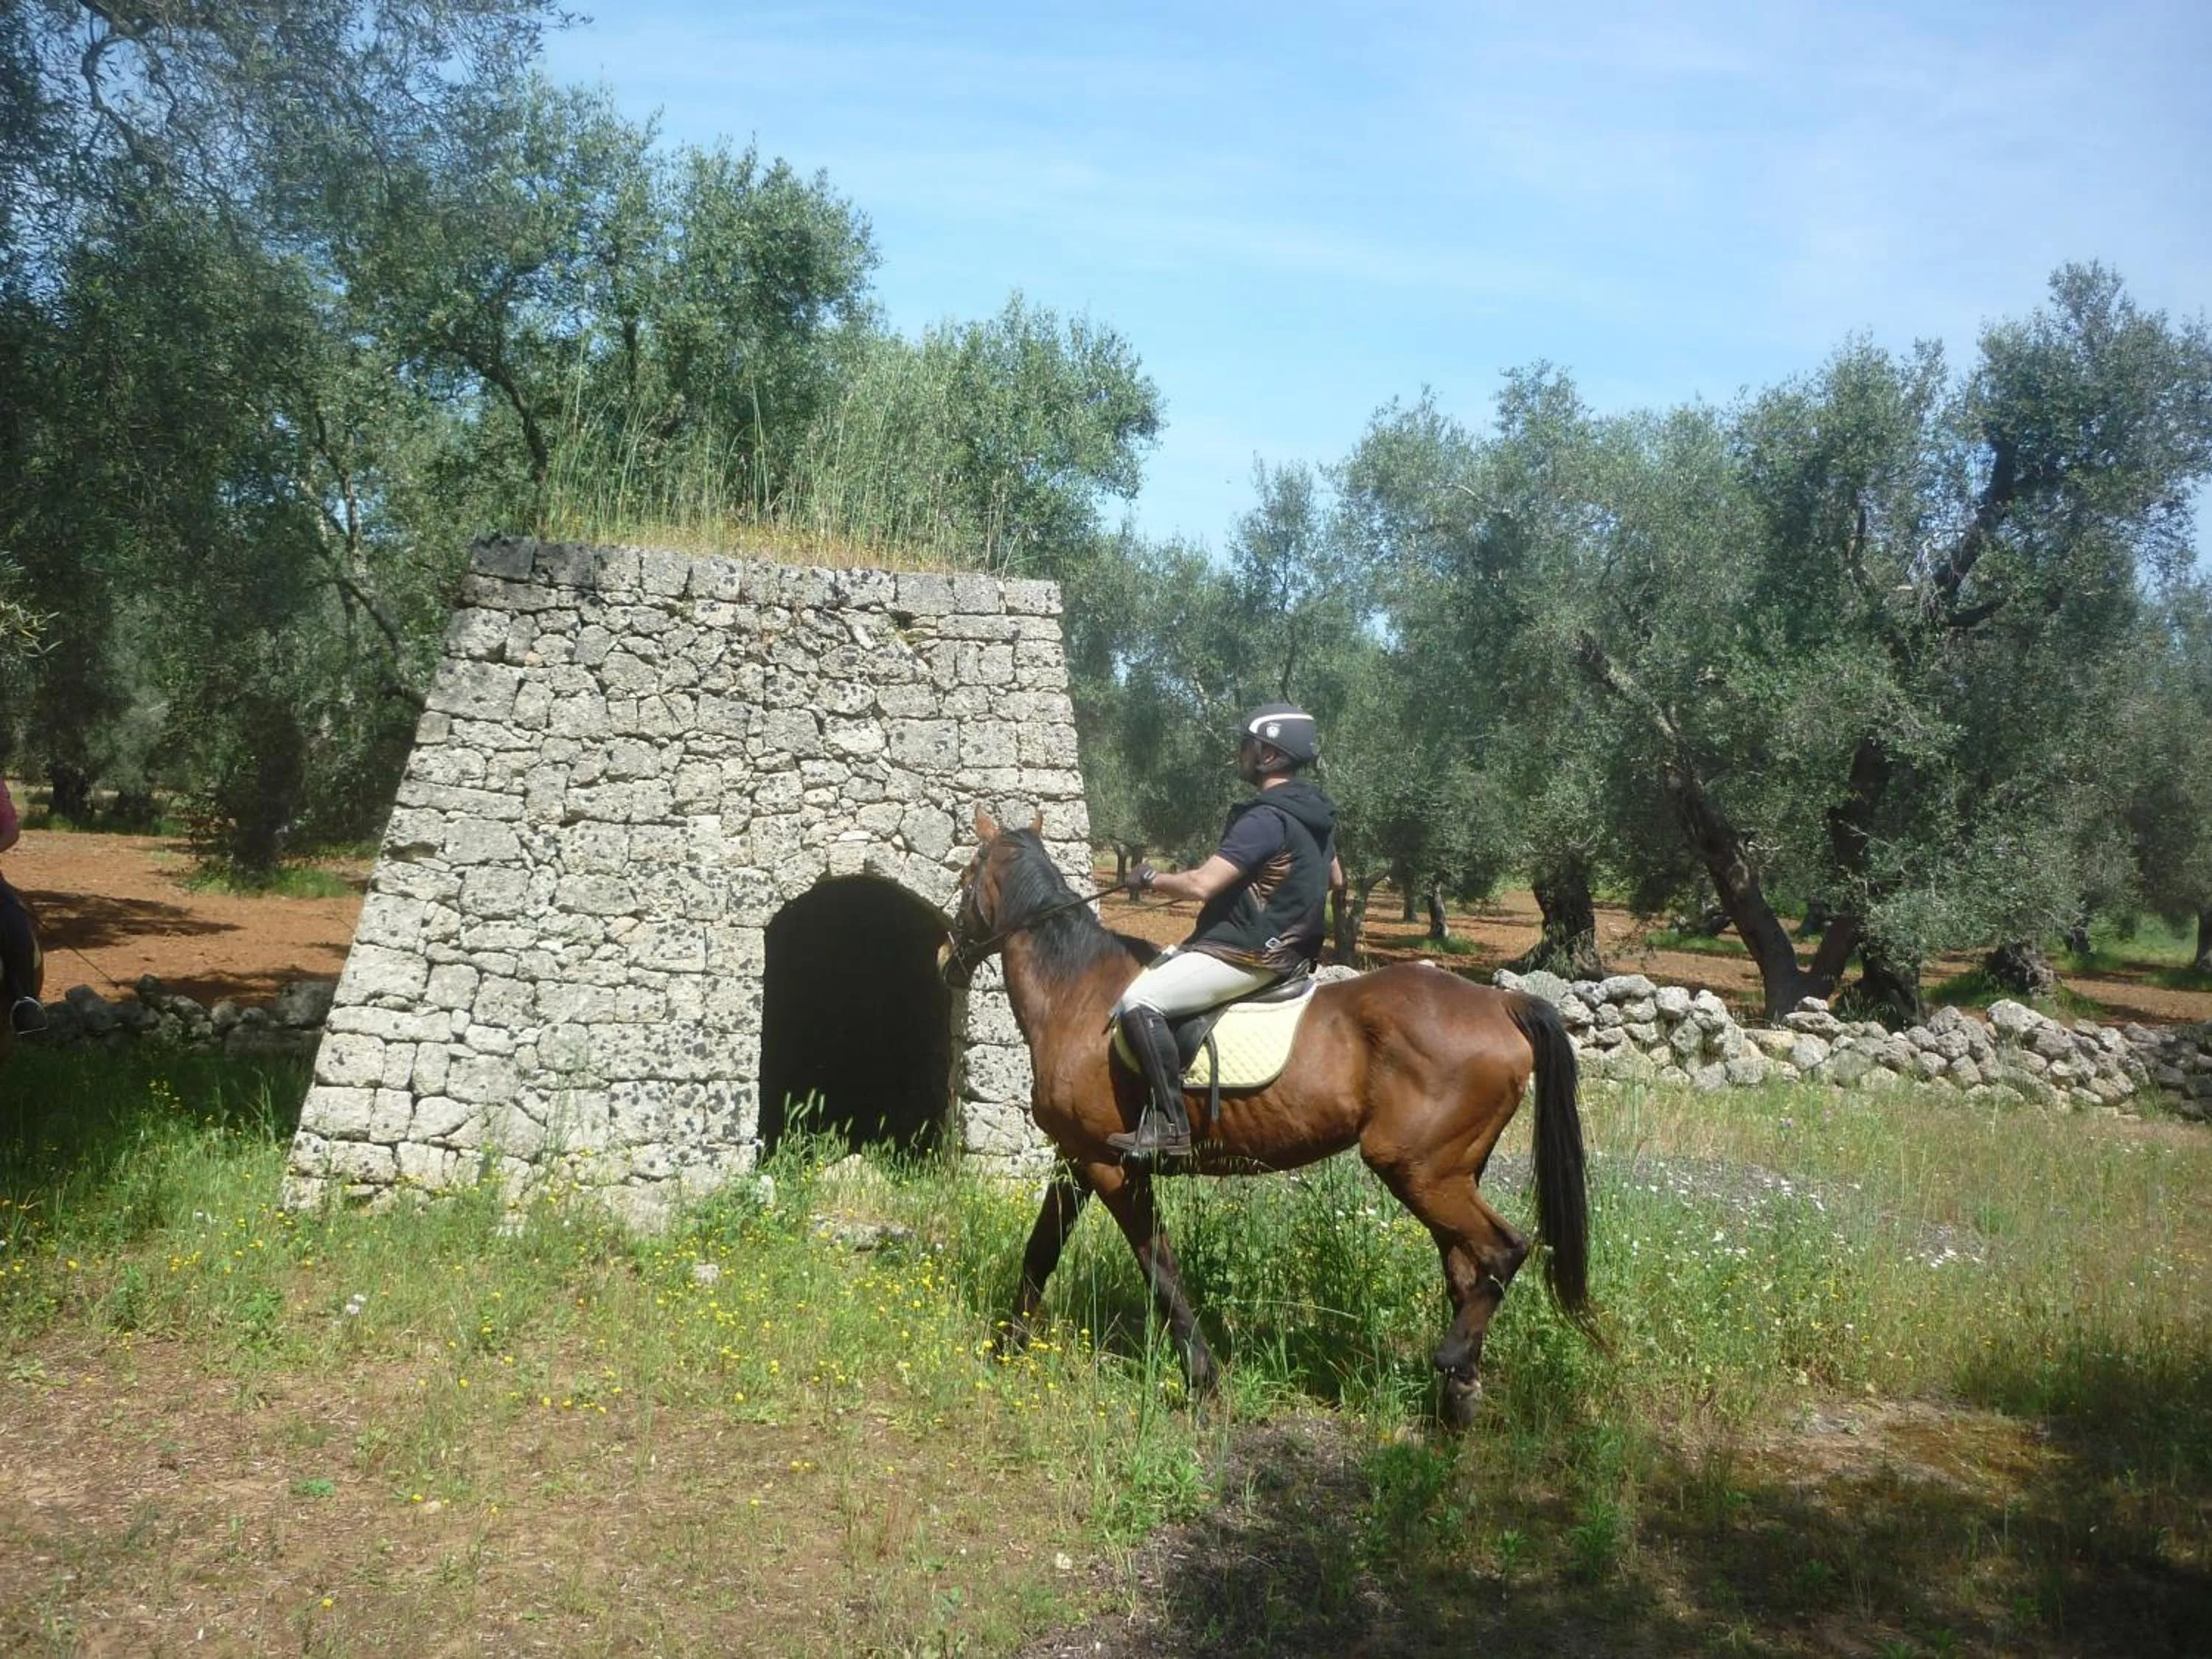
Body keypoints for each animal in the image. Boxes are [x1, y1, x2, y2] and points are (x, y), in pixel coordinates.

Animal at [940, 810, 1596, 1428]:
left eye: (965, 873)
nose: (946, 958)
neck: (1075, 994)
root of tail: (1500, 1001)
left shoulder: (1111, 1166)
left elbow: (1160, 1270)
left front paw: (1202, 1378)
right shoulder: (1075, 1158)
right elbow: (1041, 1251)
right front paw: (1006, 1348)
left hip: (1419, 1170)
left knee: (1504, 1251)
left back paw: (1452, 1362)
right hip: (1449, 1173)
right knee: (1467, 1269)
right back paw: (1457, 1396)